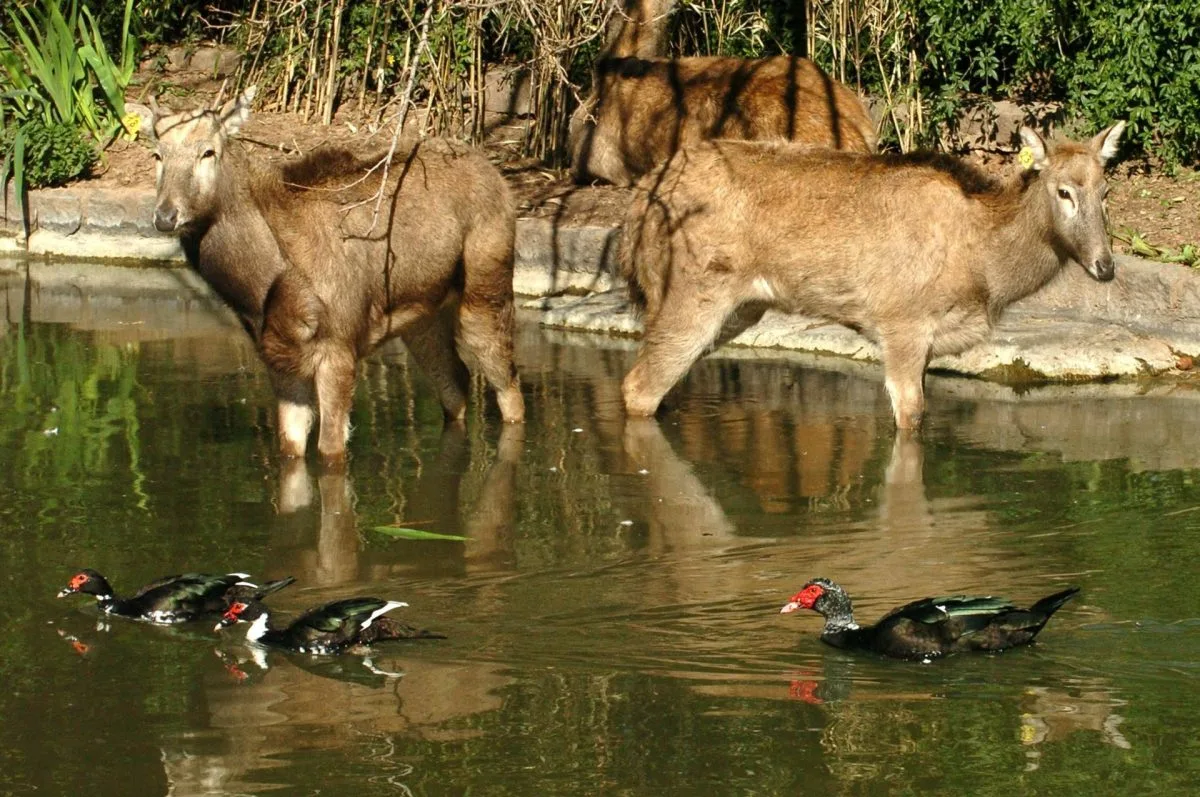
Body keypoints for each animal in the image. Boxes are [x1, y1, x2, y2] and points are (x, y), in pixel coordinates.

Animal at [151, 87, 525, 460]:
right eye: (157, 155)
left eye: (208, 151)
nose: (165, 216)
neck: (257, 289)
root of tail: (497, 175)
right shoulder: (280, 360)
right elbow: (290, 447)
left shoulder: (339, 348)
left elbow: (330, 449)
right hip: (422, 318)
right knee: (455, 380)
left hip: (486, 291)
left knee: (508, 386)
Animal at [624, 121, 1128, 427]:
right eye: (1063, 192)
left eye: (1105, 190)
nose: (1105, 266)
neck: (986, 271)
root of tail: (639, 206)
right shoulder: (901, 323)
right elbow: (910, 418)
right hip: (693, 290)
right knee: (637, 387)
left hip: (740, 308)